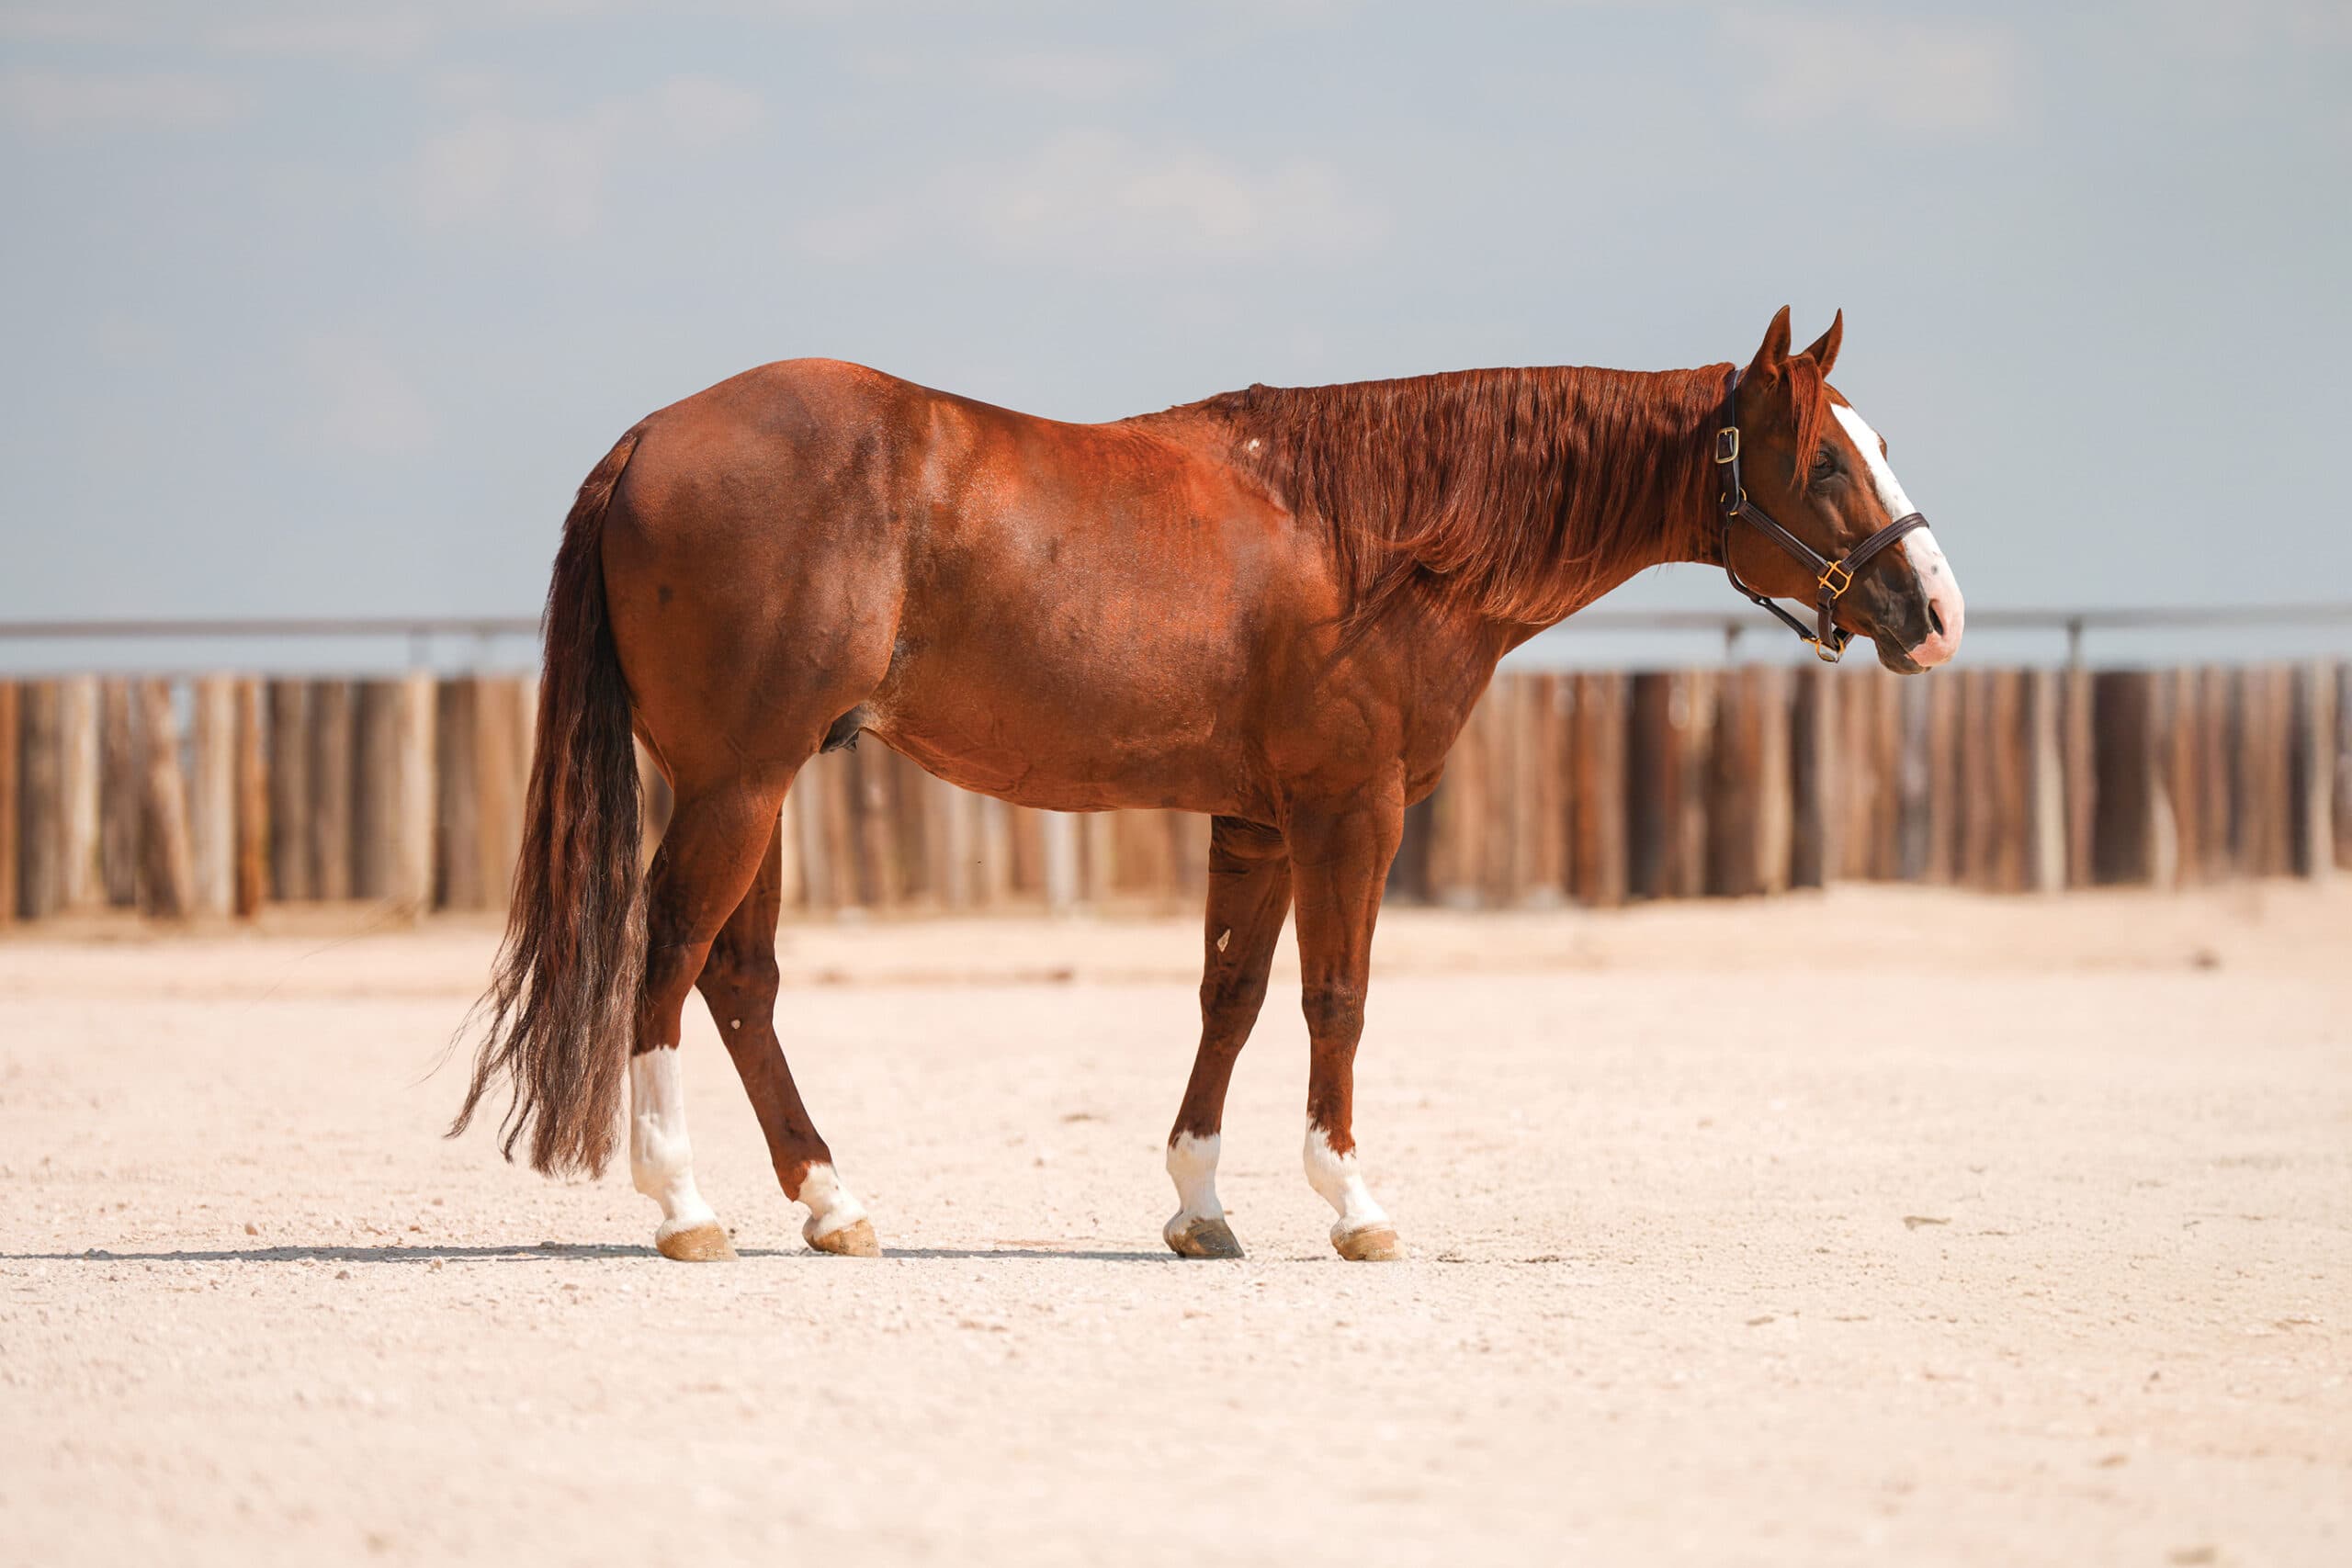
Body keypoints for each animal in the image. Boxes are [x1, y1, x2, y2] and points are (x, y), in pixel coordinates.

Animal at [450, 306, 1964, 1263]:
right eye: (1824, 460)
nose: (1936, 612)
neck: (1376, 537)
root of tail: (652, 435)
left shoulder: (1257, 823)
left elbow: (1229, 1001)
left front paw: (1200, 1206)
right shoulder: (1353, 812)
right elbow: (1336, 997)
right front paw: (1354, 1203)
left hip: (755, 783)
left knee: (738, 980)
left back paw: (832, 1203)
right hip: (738, 784)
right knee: (667, 959)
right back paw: (683, 1207)